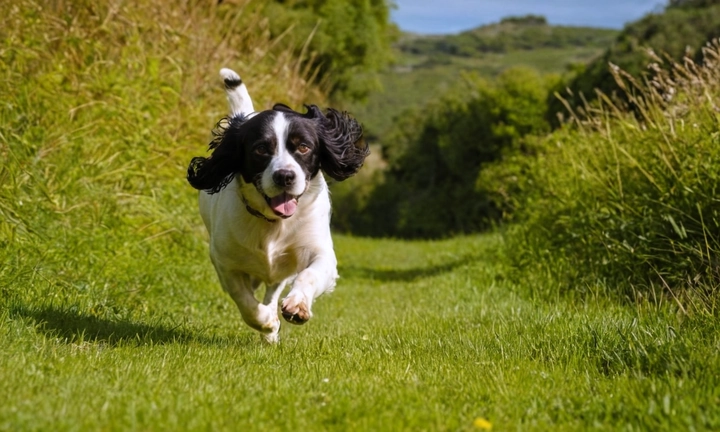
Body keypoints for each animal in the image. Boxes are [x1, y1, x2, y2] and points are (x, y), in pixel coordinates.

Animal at [188, 69, 368, 342]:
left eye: (303, 146)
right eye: (261, 149)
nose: (285, 176)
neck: (273, 224)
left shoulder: (319, 252)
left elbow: (309, 274)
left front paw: (297, 306)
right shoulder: (225, 262)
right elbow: (244, 300)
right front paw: (266, 322)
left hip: (281, 271)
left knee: (273, 289)